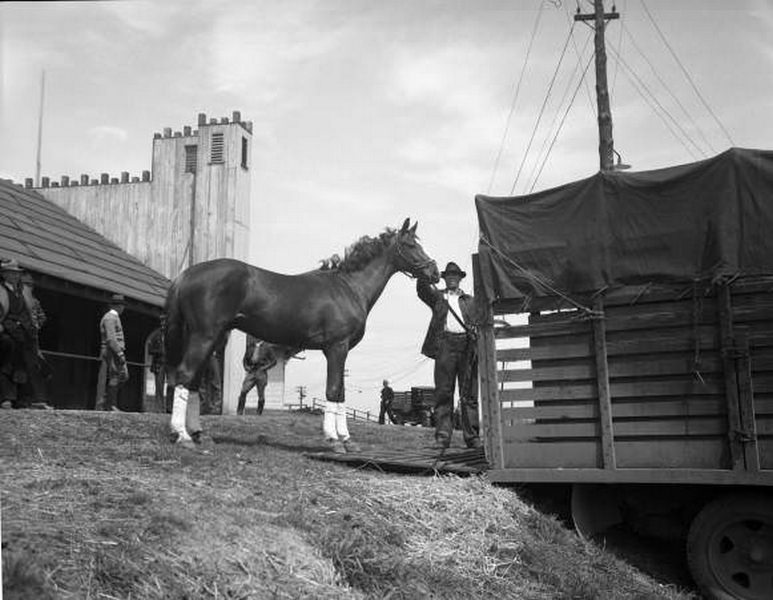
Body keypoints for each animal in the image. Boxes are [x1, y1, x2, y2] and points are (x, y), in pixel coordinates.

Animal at [164, 219, 438, 450]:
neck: (349, 288)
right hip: (203, 336)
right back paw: (183, 436)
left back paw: (199, 434)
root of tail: (186, 275)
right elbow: (333, 390)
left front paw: (347, 439)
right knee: (184, 375)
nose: (434, 272)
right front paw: (334, 440)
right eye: (410, 245)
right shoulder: (336, 348)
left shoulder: (340, 351)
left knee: (193, 382)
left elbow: (340, 393)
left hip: (212, 339)